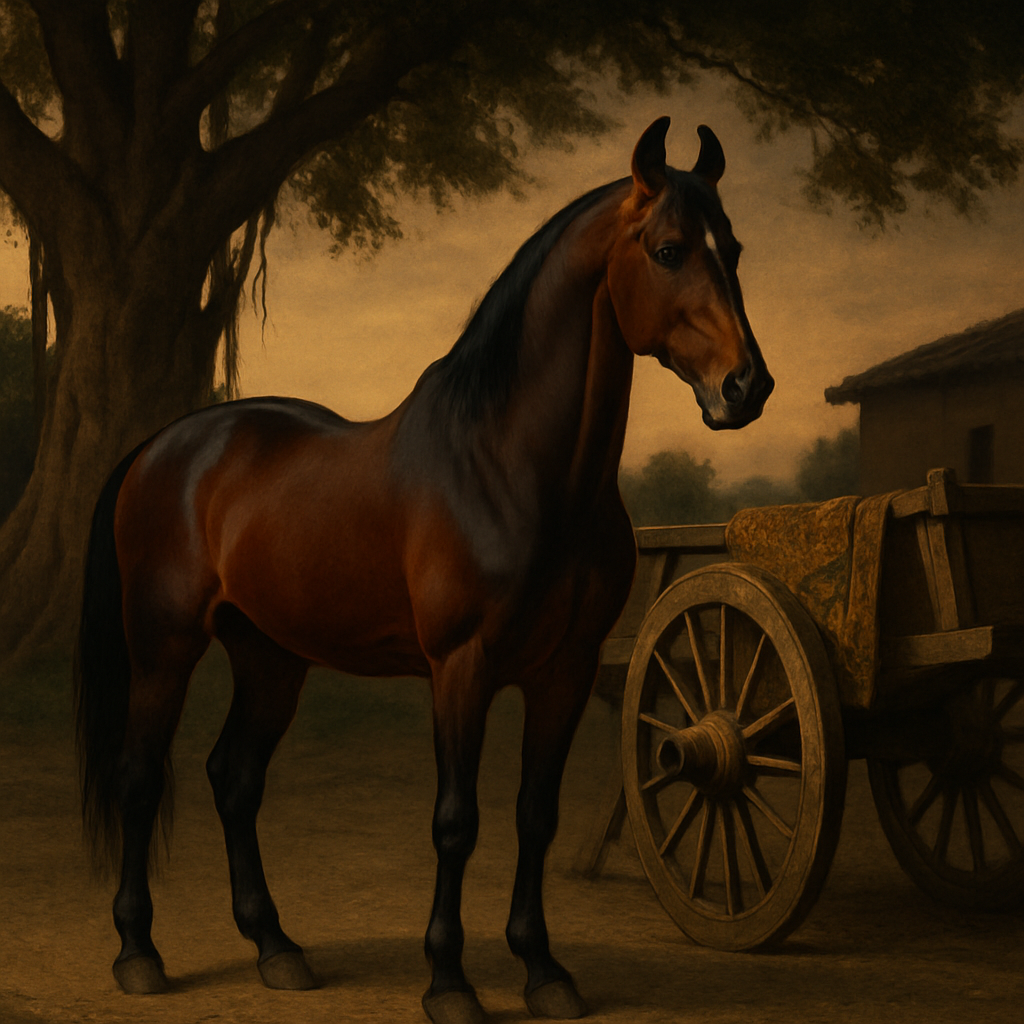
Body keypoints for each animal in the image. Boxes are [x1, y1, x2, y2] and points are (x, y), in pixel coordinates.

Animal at [75, 117, 773, 1024]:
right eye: (667, 249)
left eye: (734, 247)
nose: (746, 387)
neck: (513, 470)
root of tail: (160, 447)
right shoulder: (460, 668)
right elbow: (456, 820)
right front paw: (449, 982)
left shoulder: (565, 671)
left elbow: (536, 813)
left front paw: (544, 971)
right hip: (164, 647)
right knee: (138, 777)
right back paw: (139, 954)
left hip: (270, 657)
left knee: (234, 777)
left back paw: (277, 949)